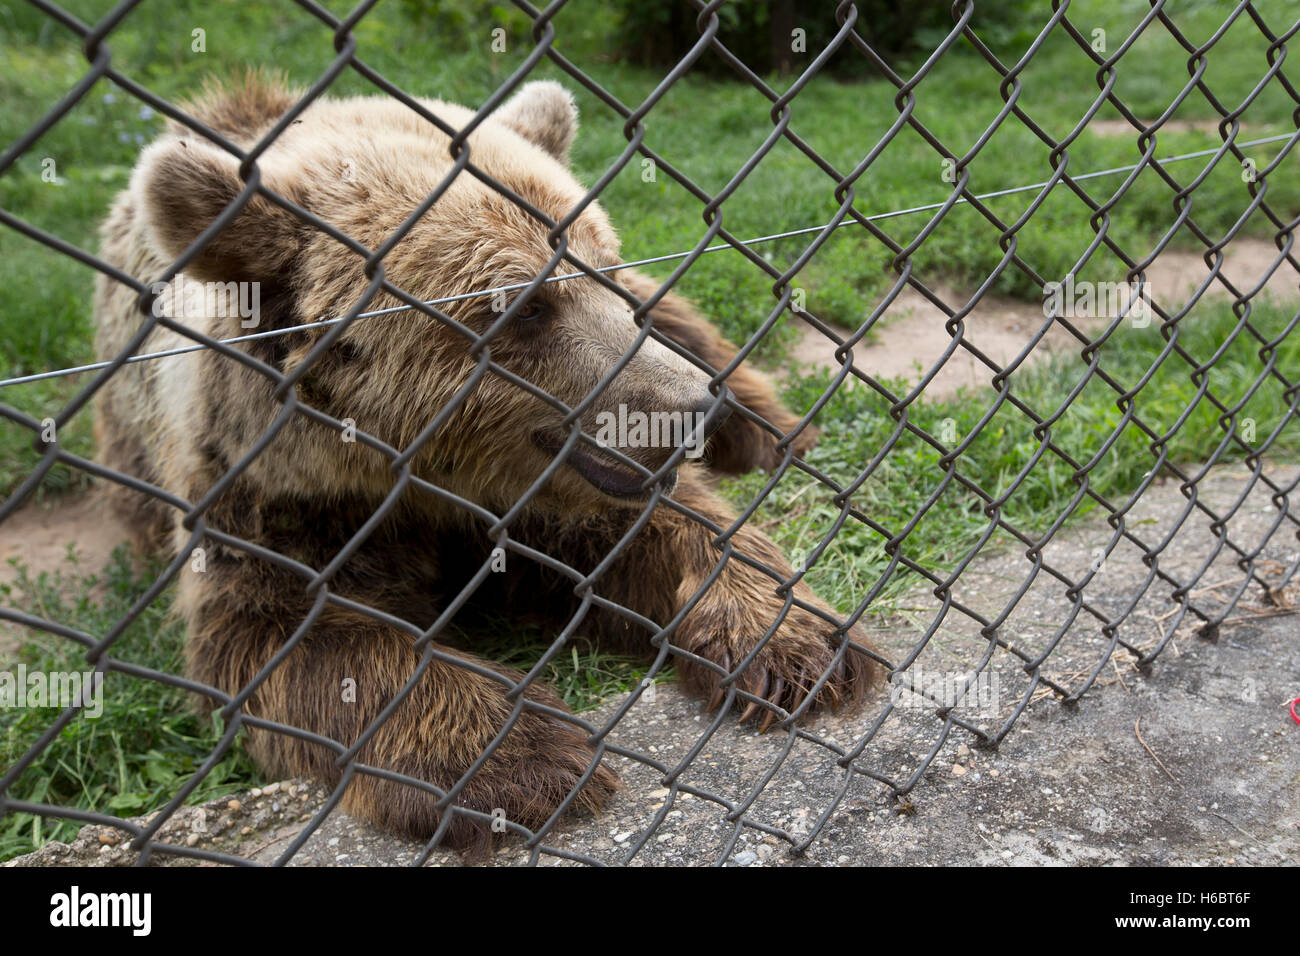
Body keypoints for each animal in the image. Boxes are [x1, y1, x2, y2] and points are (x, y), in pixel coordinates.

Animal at [94, 74, 883, 853]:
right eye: (524, 308)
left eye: (606, 269)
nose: (691, 408)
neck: (423, 477)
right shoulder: (275, 503)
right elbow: (289, 633)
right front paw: (525, 757)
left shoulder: (543, 481)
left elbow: (655, 528)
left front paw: (795, 644)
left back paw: (771, 430)